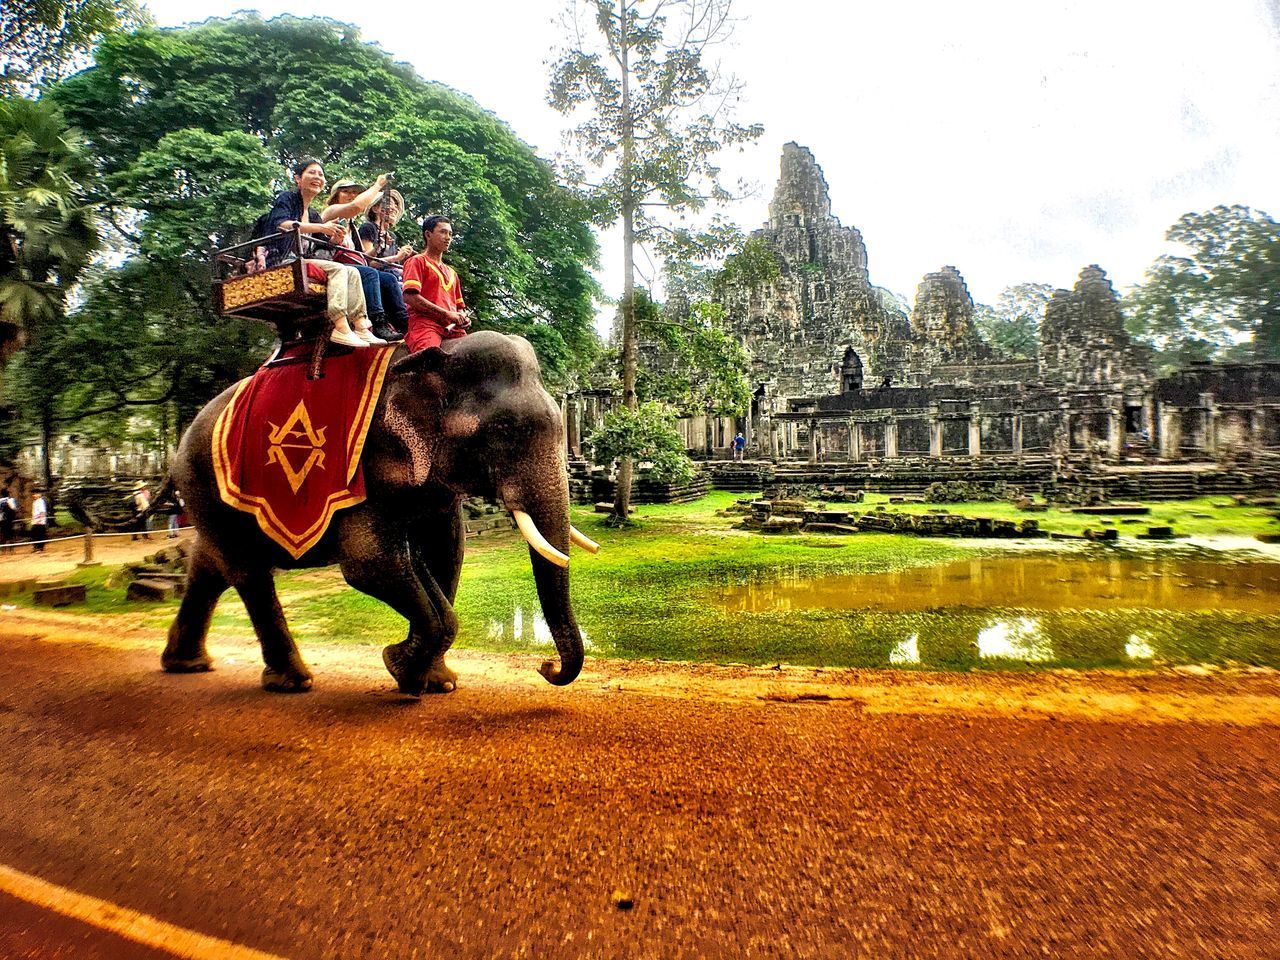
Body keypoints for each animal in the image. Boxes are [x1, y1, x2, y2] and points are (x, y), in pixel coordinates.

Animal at [162, 335, 596, 696]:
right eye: (504, 429)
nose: (545, 666)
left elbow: (445, 551)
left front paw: (434, 682)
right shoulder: (365, 465)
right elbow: (368, 563)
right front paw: (400, 666)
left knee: (210, 565)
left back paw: (187, 664)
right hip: (204, 481)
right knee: (247, 571)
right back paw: (292, 682)